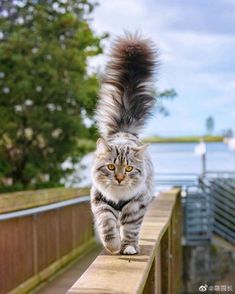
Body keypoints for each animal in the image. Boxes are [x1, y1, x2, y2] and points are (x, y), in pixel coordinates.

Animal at [91, 32, 157, 255]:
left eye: (128, 169)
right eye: (111, 167)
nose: (119, 178)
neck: (118, 196)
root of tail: (124, 130)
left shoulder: (136, 204)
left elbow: (130, 228)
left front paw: (128, 247)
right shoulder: (101, 202)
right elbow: (107, 225)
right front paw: (113, 246)